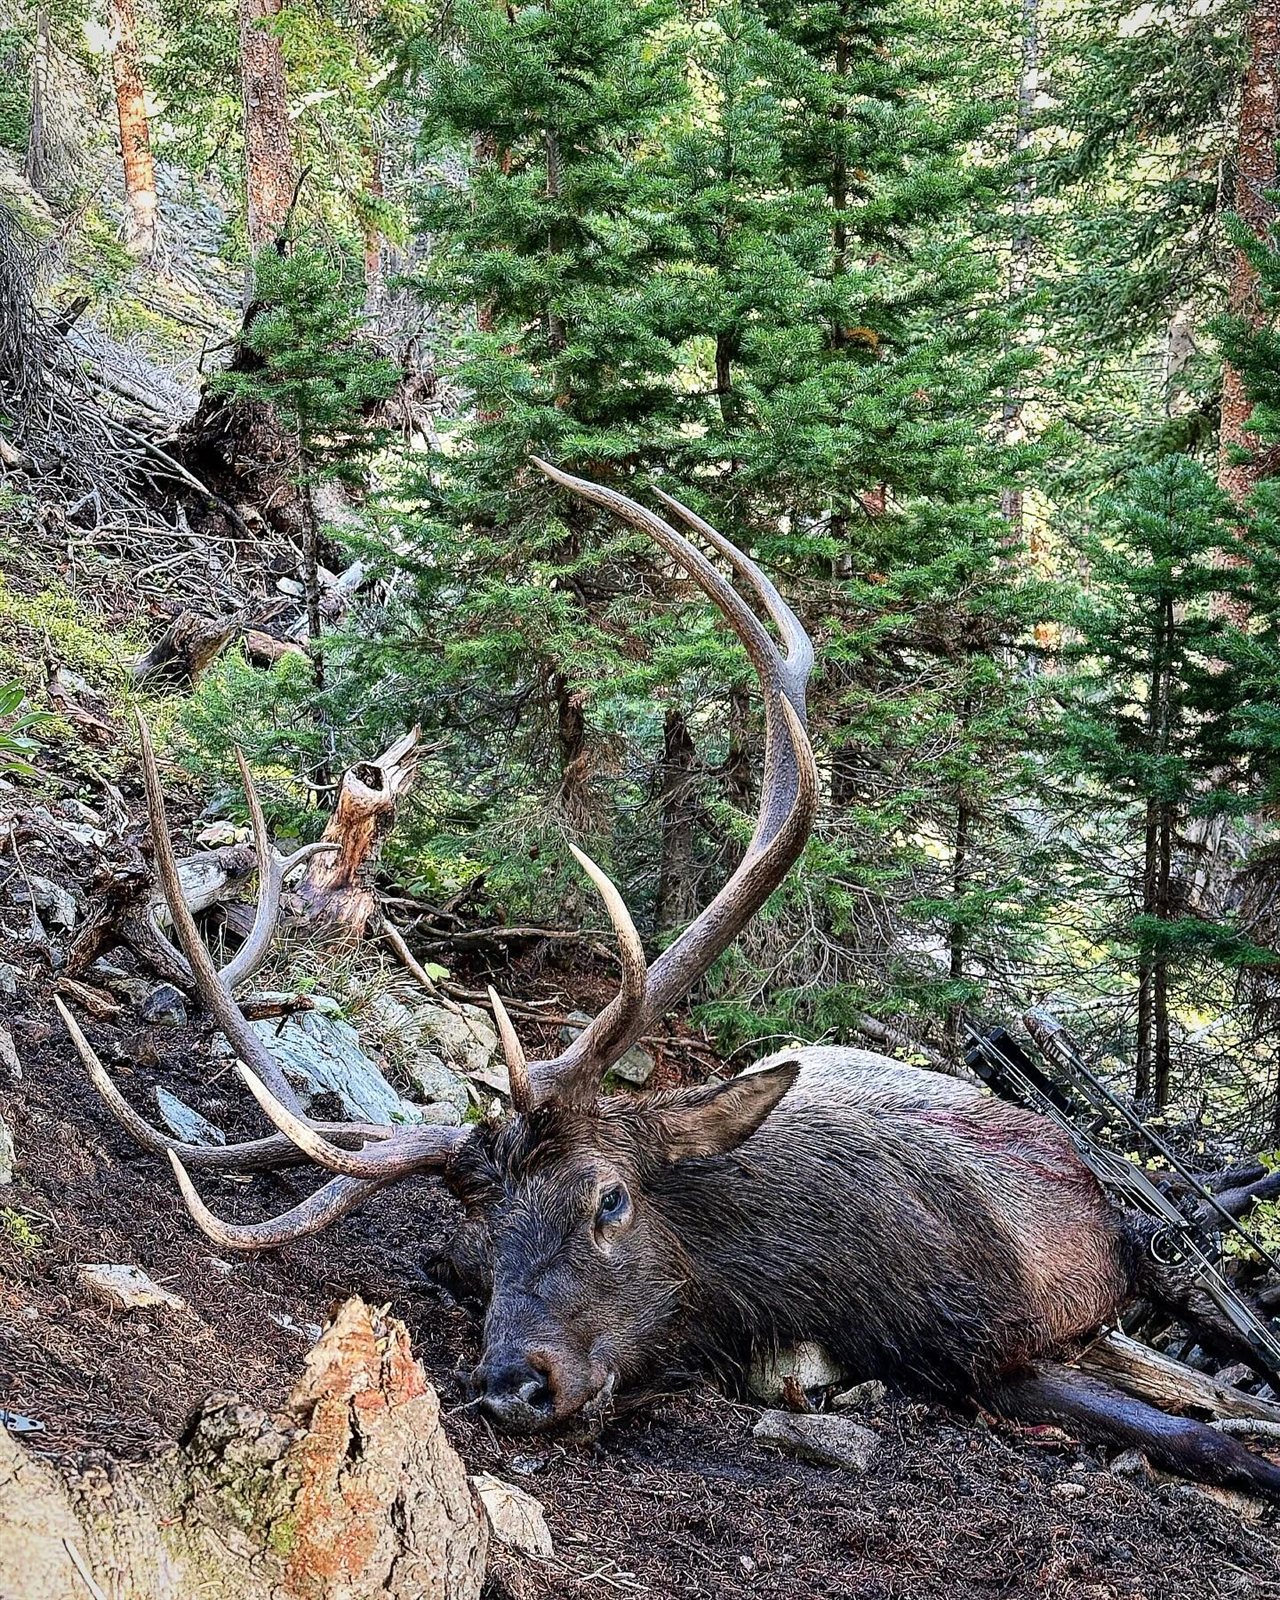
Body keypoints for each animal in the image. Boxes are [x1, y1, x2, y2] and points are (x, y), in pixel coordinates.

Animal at [57, 459, 1280, 1500]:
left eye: (609, 1198)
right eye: (479, 1235)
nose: (513, 1384)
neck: (813, 1283)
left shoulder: (1007, 1329)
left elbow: (1206, 1429)